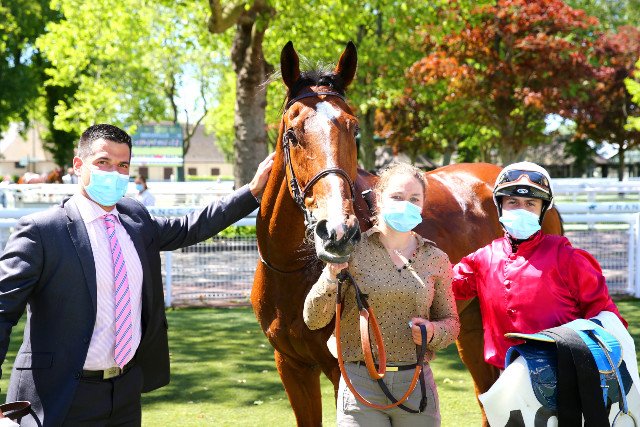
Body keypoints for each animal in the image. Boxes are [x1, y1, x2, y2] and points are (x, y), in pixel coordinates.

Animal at [251, 41, 564, 426]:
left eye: (354, 130)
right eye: (292, 134)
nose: (338, 231)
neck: (293, 271)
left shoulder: (344, 370)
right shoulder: (291, 366)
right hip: (470, 326)